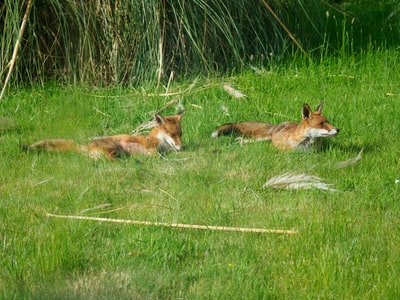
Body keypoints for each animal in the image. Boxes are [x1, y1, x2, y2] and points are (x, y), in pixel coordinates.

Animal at [22, 111, 184, 161]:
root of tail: (84, 146)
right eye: (172, 134)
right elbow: (158, 156)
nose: (181, 147)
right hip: (114, 148)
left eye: (180, 134)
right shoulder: (151, 147)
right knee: (108, 159)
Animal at [211, 103, 340, 151]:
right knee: (246, 139)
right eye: (321, 123)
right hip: (262, 138)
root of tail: (277, 125)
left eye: (327, 122)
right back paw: (240, 141)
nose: (338, 129)